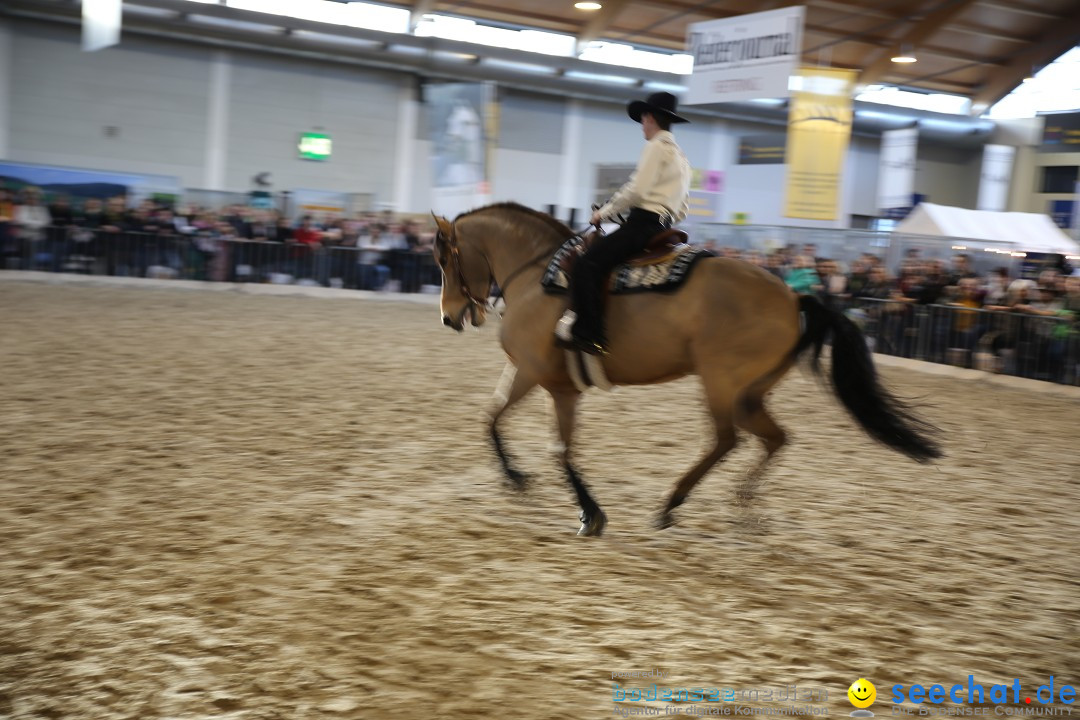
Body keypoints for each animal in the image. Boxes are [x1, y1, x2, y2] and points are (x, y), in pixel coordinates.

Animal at [432, 202, 946, 535]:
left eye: (444, 259)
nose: (449, 317)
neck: (539, 278)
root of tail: (792, 296)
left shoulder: (550, 380)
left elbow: (558, 448)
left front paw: (588, 513)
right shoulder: (534, 375)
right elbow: (493, 416)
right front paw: (516, 478)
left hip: (721, 380)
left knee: (726, 439)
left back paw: (671, 504)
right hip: (750, 391)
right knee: (773, 438)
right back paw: (741, 505)